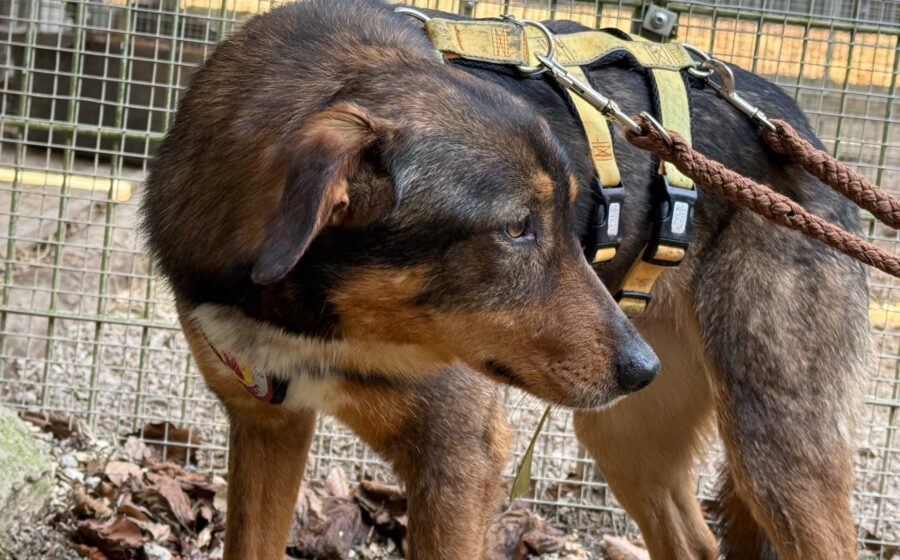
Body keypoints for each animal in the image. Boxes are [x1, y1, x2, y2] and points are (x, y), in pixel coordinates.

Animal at [141, 1, 869, 559]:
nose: (642, 369)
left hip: (771, 438)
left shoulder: (460, 457)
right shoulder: (269, 425)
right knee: (693, 544)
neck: (317, 316)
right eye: (518, 227)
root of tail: (792, 121)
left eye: (570, 214)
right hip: (625, 433)